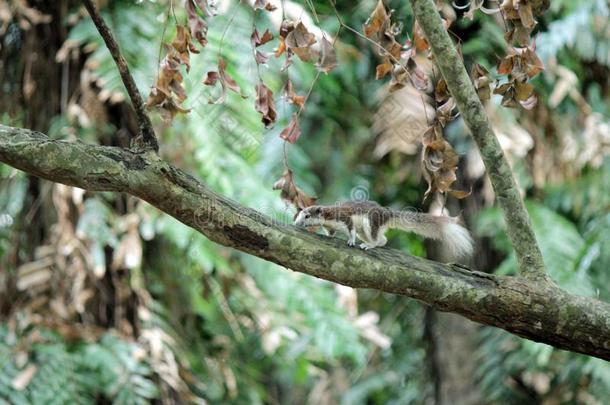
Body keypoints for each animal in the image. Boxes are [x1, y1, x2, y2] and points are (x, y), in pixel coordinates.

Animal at [292, 200, 472, 258]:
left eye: (306, 216)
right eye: (299, 214)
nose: (296, 224)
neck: (329, 217)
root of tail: (387, 214)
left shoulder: (345, 218)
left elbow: (350, 230)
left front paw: (350, 241)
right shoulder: (331, 226)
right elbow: (330, 232)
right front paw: (329, 236)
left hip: (370, 223)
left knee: (378, 239)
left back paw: (369, 245)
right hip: (365, 231)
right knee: (383, 239)